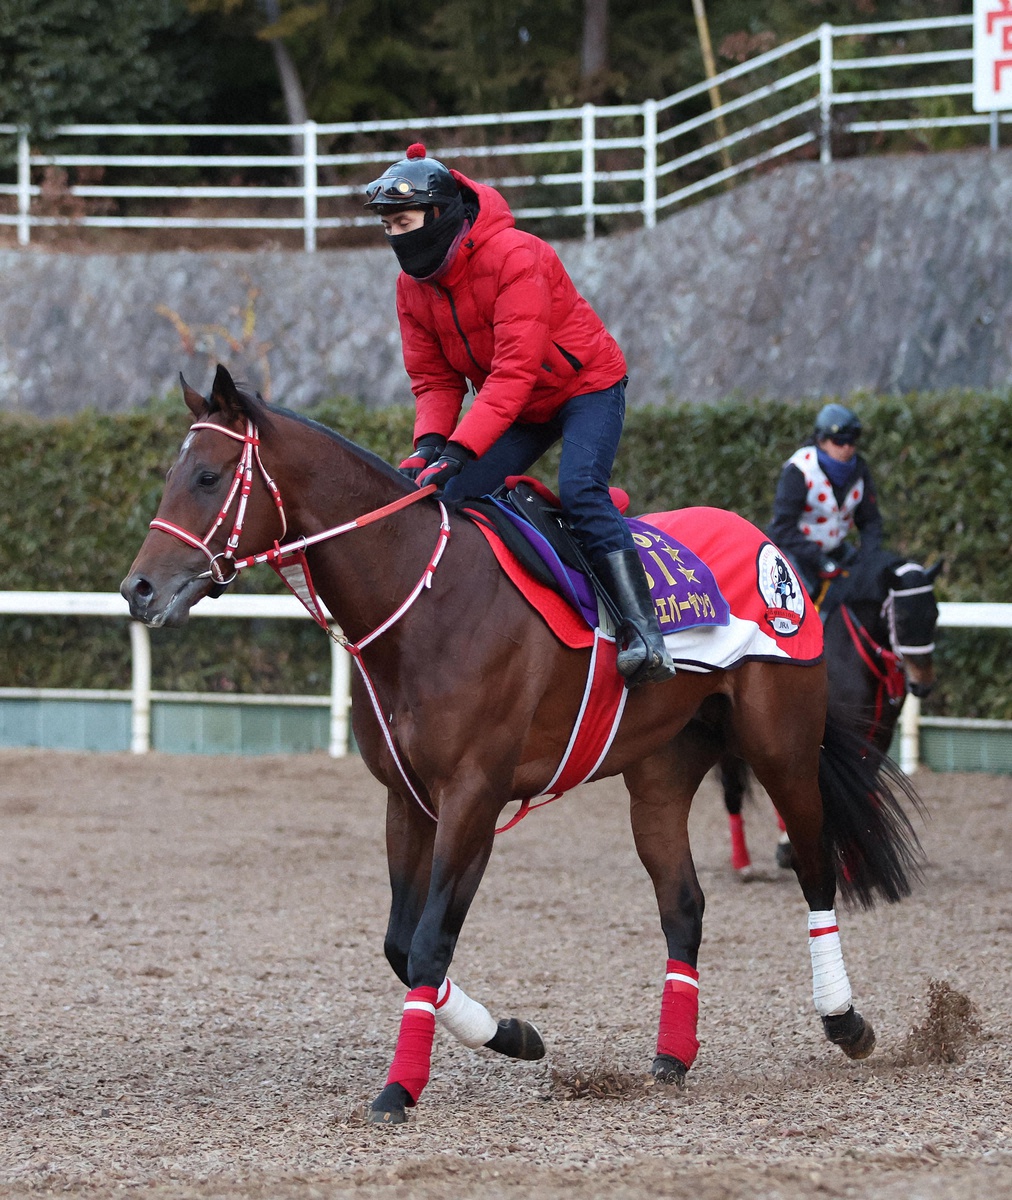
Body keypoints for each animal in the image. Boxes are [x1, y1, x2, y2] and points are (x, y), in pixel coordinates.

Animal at [720, 550, 942, 874]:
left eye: (935, 614)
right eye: (900, 618)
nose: (922, 685)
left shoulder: (879, 735)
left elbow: (864, 788)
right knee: (733, 784)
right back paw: (742, 862)